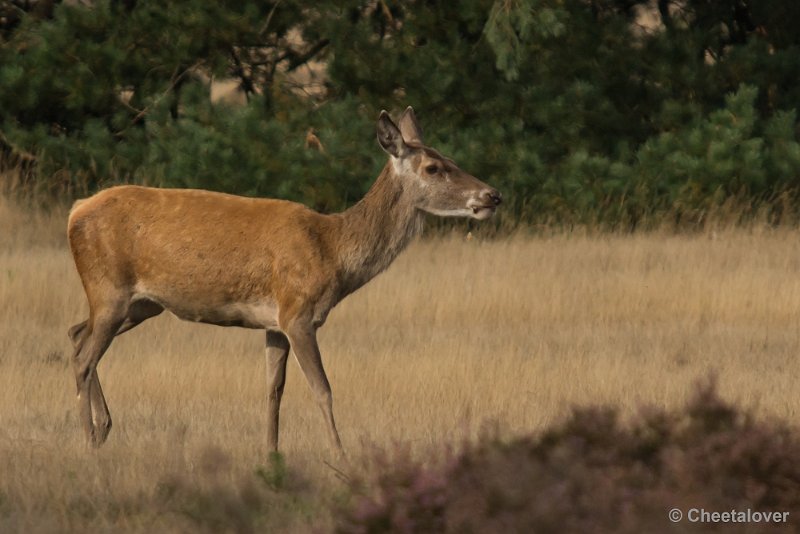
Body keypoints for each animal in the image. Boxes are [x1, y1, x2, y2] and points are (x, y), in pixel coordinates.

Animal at [67, 108, 500, 456]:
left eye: (451, 158)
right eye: (433, 168)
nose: (492, 195)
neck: (333, 250)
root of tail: (75, 211)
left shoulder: (274, 323)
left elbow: (274, 390)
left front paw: (272, 452)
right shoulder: (298, 313)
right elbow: (322, 388)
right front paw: (340, 455)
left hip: (140, 304)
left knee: (75, 336)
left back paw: (103, 428)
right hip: (109, 289)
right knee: (86, 357)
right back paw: (88, 439)